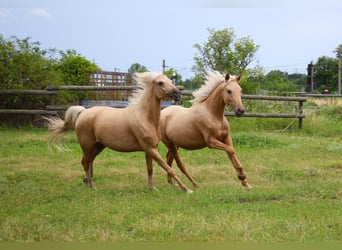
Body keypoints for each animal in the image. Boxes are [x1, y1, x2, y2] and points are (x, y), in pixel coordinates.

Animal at [46, 72, 192, 193]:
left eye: (170, 81)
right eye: (160, 83)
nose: (177, 94)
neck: (145, 118)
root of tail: (82, 112)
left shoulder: (150, 149)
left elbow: (150, 169)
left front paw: (152, 188)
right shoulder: (151, 149)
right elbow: (169, 169)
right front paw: (187, 189)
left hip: (98, 146)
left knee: (87, 162)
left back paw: (87, 183)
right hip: (87, 146)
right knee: (86, 163)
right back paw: (92, 186)